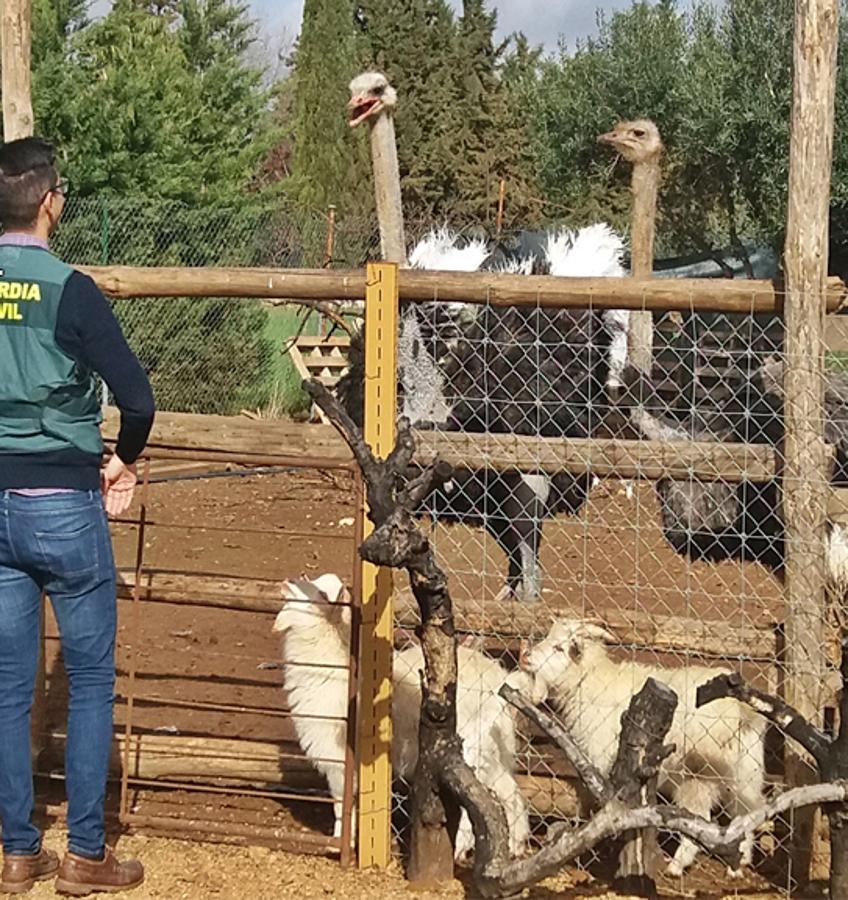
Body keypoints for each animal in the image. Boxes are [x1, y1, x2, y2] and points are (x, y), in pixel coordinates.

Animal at [272, 572, 528, 860]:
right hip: (494, 753)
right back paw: (516, 846)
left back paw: (460, 849)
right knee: (510, 794)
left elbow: (341, 803)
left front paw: (338, 842)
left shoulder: (338, 758)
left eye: (322, 594)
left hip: (471, 749)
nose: (287, 582)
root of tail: (502, 682)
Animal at [512, 620, 764, 872]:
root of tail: (742, 711)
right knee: (746, 812)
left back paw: (677, 866)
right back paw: (739, 862)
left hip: (698, 775)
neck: (590, 681)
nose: (526, 656)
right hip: (744, 772)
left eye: (559, 648)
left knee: (703, 816)